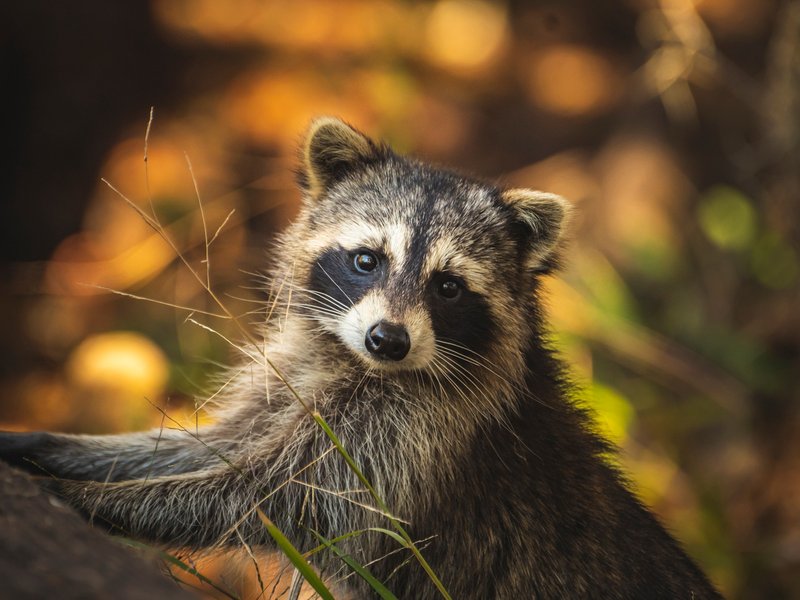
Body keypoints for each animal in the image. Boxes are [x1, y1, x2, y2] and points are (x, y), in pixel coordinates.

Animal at [0, 118, 721, 599]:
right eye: (367, 259)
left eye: (448, 286)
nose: (387, 339)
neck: (362, 367)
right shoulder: (295, 382)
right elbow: (207, 449)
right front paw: (58, 450)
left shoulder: (416, 435)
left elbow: (265, 498)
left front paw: (90, 497)